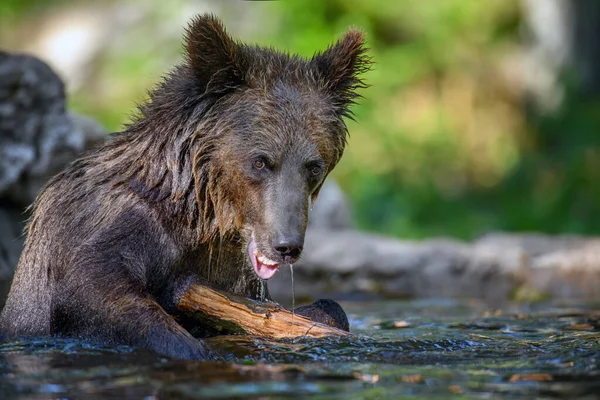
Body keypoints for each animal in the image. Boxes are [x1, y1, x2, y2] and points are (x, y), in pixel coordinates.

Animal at [0, 13, 370, 360]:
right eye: (261, 161)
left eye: (314, 166)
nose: (286, 245)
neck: (201, 212)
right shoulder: (106, 224)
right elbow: (95, 286)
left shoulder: (233, 270)